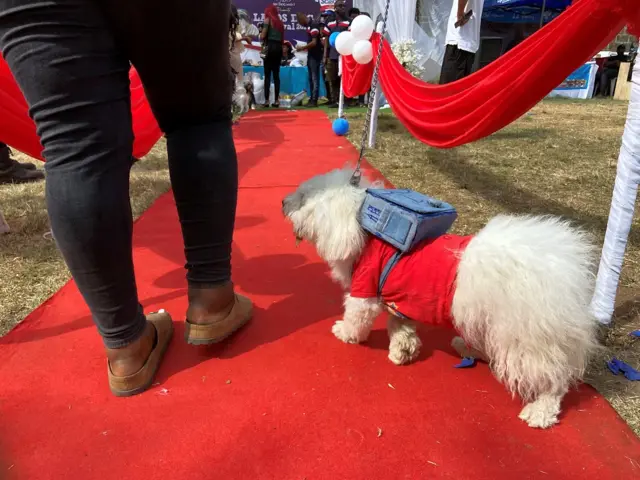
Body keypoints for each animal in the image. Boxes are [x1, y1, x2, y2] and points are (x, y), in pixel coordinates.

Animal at [282, 168, 604, 428]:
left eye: (303, 197)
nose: (283, 202)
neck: (362, 229)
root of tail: (564, 271)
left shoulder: (365, 289)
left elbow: (356, 317)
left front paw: (345, 333)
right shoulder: (400, 303)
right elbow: (401, 327)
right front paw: (403, 350)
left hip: (524, 338)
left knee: (554, 381)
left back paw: (539, 412)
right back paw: (468, 348)